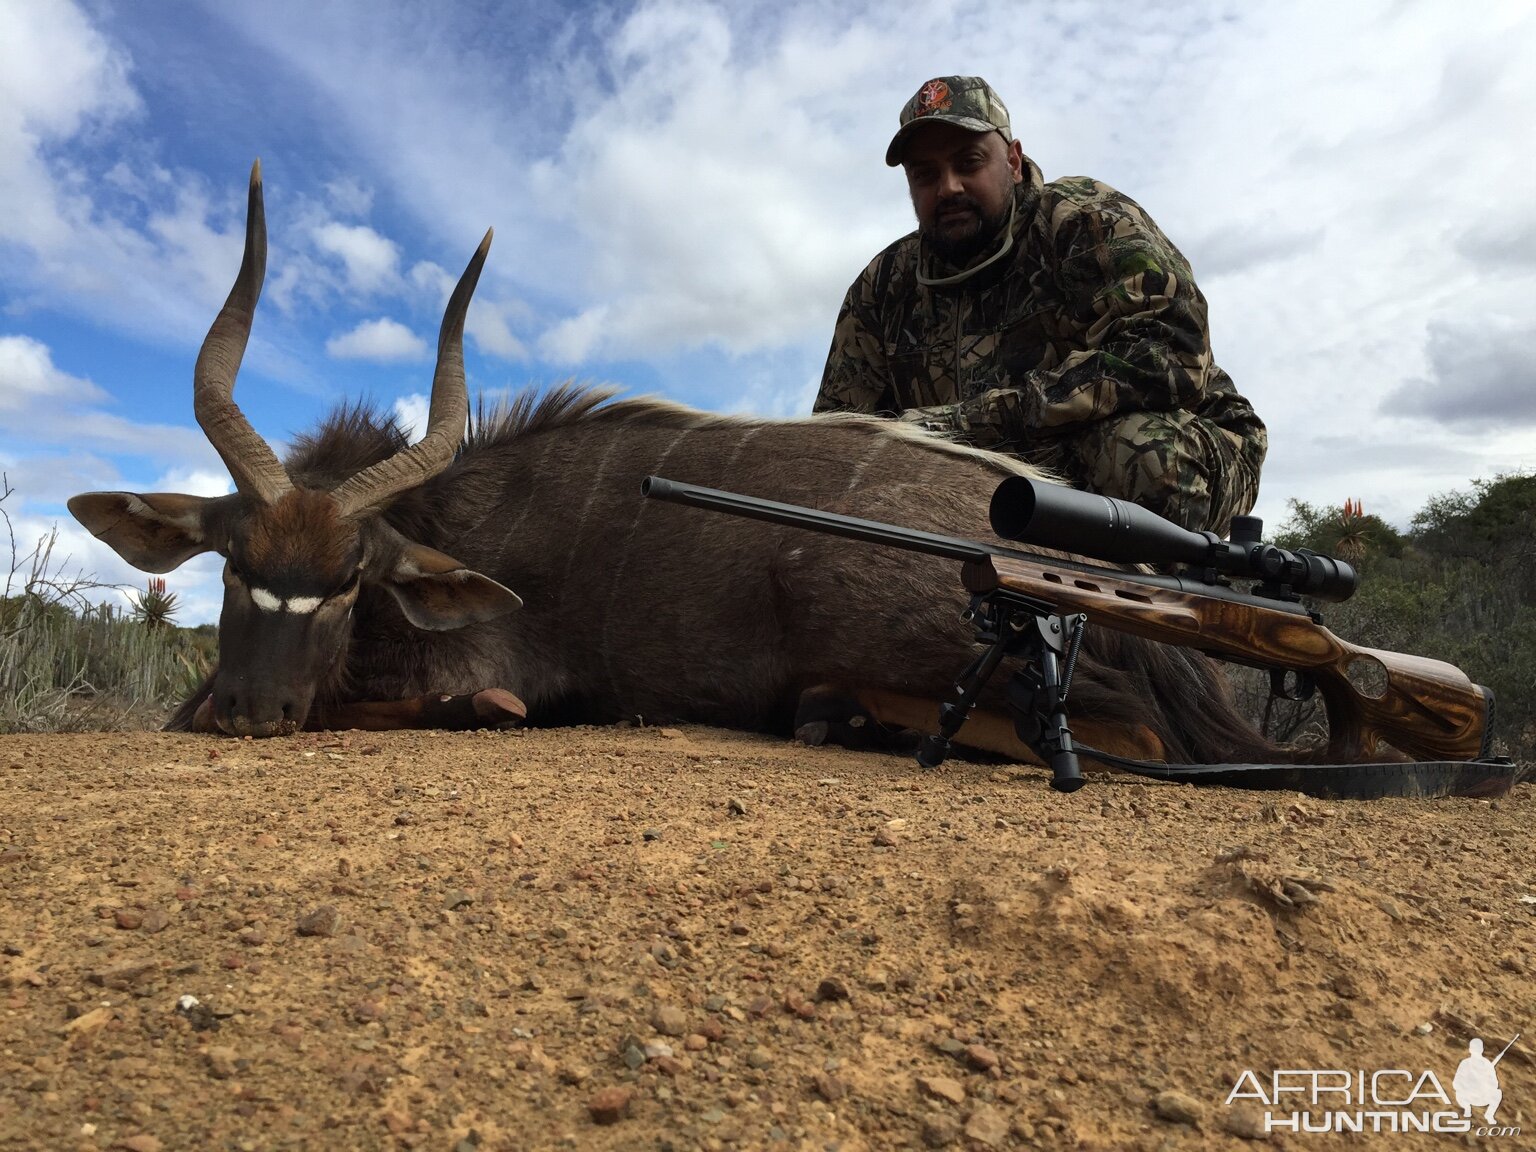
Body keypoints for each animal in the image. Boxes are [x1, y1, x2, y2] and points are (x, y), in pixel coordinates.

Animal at [66, 160, 1277, 768]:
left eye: (351, 582)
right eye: (232, 568)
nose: (252, 710)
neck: (454, 521)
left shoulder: (472, 667)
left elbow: (464, 704)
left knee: (1126, 732)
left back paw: (852, 716)